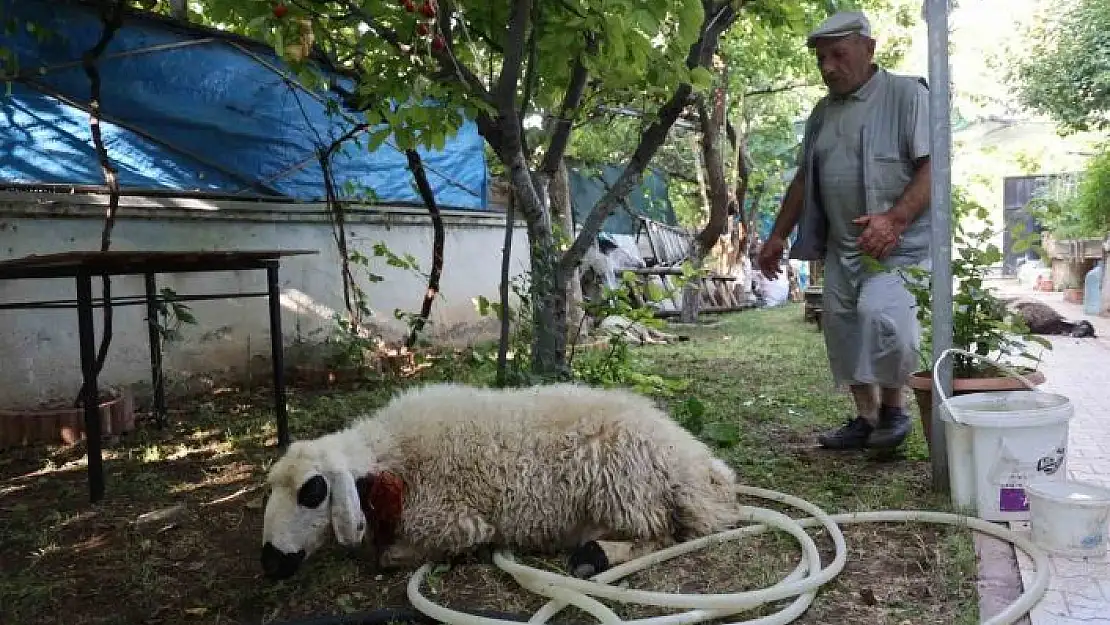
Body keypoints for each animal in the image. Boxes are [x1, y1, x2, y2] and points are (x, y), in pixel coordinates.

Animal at [259, 381, 741, 581]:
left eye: (313, 491)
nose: (271, 563)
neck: (394, 455)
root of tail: (701, 468)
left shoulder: (454, 522)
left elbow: (391, 557)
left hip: (625, 489)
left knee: (661, 535)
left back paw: (595, 556)